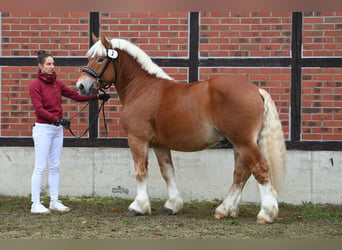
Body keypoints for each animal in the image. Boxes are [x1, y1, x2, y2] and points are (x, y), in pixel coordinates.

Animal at [76, 33, 288, 223]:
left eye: (100, 58)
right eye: (89, 58)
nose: (81, 86)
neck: (142, 88)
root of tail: (256, 89)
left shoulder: (137, 139)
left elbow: (141, 171)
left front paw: (139, 207)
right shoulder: (159, 144)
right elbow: (167, 172)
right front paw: (172, 205)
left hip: (243, 141)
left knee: (259, 168)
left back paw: (266, 213)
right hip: (239, 143)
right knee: (241, 173)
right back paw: (225, 209)